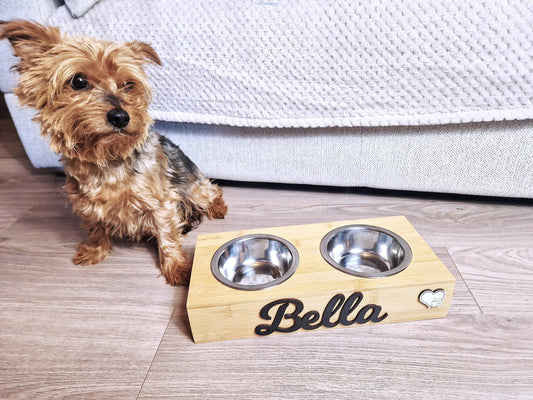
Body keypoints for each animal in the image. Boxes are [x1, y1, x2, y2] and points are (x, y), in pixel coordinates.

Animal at [0, 21, 227, 284]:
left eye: (128, 84)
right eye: (78, 81)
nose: (121, 117)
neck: (105, 159)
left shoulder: (160, 201)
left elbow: (167, 234)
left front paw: (177, 268)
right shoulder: (86, 202)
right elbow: (96, 226)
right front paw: (94, 250)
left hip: (194, 187)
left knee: (212, 191)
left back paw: (217, 208)